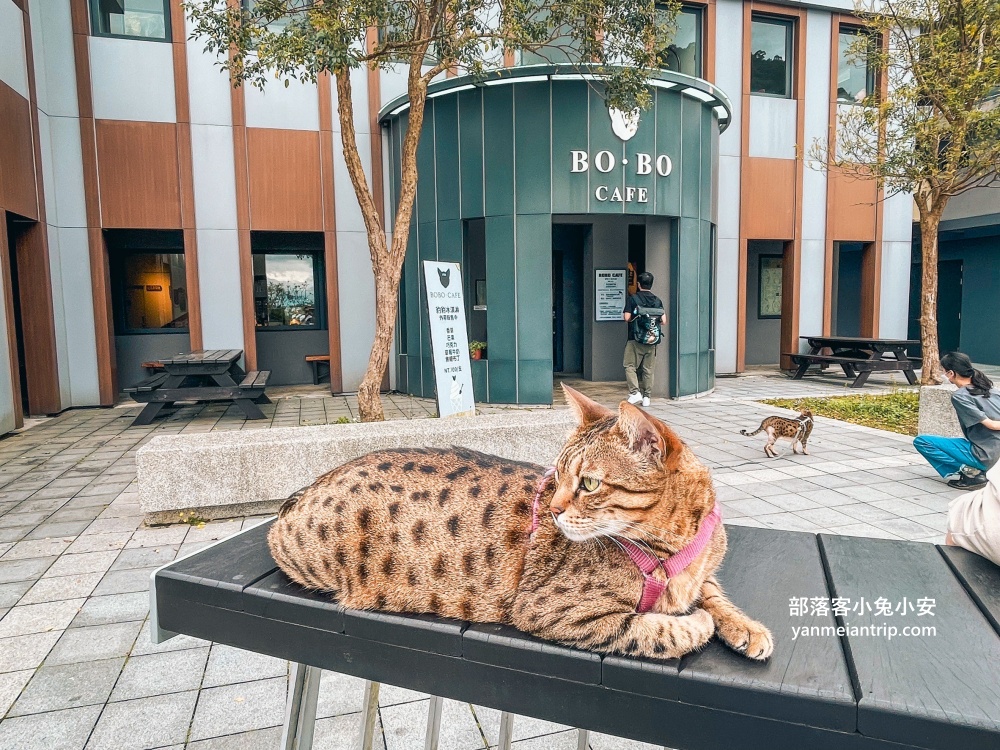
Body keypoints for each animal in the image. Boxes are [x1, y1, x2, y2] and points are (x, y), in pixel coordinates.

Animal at [268, 388, 772, 664]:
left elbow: (713, 592)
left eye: (588, 482)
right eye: (558, 474)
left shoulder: (698, 574)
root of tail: (313, 484)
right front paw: (698, 622)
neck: (673, 545)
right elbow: (657, 630)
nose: (553, 509)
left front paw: (745, 626)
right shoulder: (553, 611)